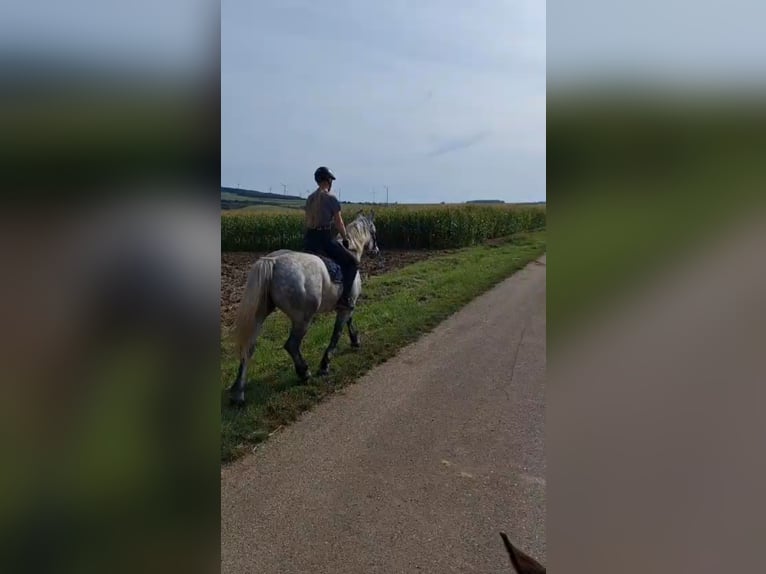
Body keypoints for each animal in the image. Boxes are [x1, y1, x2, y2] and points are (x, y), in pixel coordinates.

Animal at [230, 212, 382, 404]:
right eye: (374, 231)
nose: (376, 250)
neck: (351, 248)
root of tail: (273, 261)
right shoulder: (346, 305)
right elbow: (337, 333)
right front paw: (325, 365)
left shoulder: (347, 305)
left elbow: (349, 322)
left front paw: (355, 340)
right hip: (303, 318)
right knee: (292, 345)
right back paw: (304, 372)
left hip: (260, 315)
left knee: (248, 347)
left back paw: (238, 393)